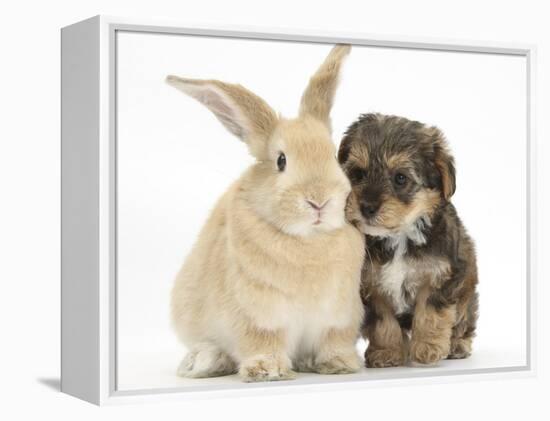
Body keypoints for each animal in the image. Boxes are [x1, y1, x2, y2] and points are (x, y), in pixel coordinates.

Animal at [338, 113, 480, 366]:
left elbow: (431, 312)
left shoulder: (441, 275)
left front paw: (428, 348)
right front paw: (387, 351)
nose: (367, 207)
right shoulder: (371, 285)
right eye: (358, 174)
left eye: (400, 178)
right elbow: (383, 321)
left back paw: (457, 345)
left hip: (467, 291)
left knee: (464, 319)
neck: (399, 235)